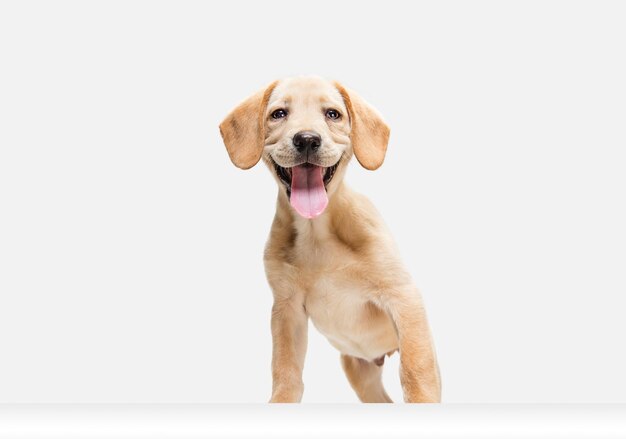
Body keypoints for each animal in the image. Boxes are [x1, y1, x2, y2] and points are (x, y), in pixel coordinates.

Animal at [219, 76, 438, 402]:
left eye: (333, 114)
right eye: (279, 114)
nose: (307, 139)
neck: (316, 233)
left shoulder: (403, 296)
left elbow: (416, 371)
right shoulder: (287, 310)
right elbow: (286, 372)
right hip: (361, 373)